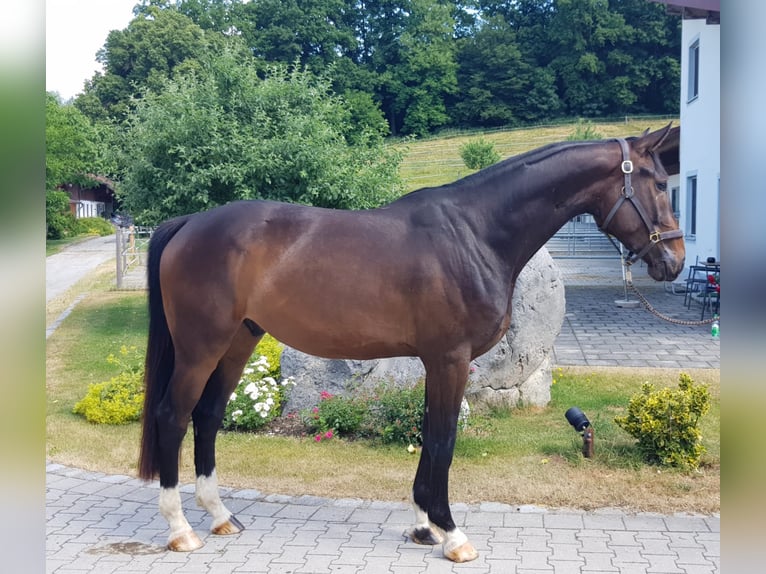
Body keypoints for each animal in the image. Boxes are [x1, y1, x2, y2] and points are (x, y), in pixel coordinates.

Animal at [136, 125, 684, 564]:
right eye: (659, 184)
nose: (674, 261)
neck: (475, 234)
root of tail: (188, 224)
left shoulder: (435, 362)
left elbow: (429, 435)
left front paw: (424, 526)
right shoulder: (450, 360)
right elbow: (443, 440)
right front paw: (452, 534)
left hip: (238, 342)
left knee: (208, 416)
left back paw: (220, 516)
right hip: (200, 347)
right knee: (173, 415)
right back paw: (181, 530)